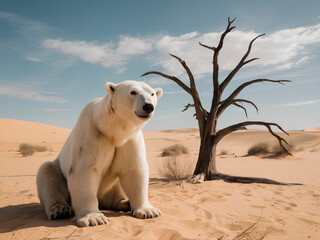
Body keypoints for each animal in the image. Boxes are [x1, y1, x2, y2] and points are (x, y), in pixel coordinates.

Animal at [35, 80, 162, 227]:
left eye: (152, 94)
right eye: (133, 92)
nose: (148, 106)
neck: (112, 129)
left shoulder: (130, 140)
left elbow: (133, 170)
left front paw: (148, 211)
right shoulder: (92, 134)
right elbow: (85, 170)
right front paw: (94, 218)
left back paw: (125, 203)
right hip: (58, 170)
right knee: (47, 172)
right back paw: (60, 209)